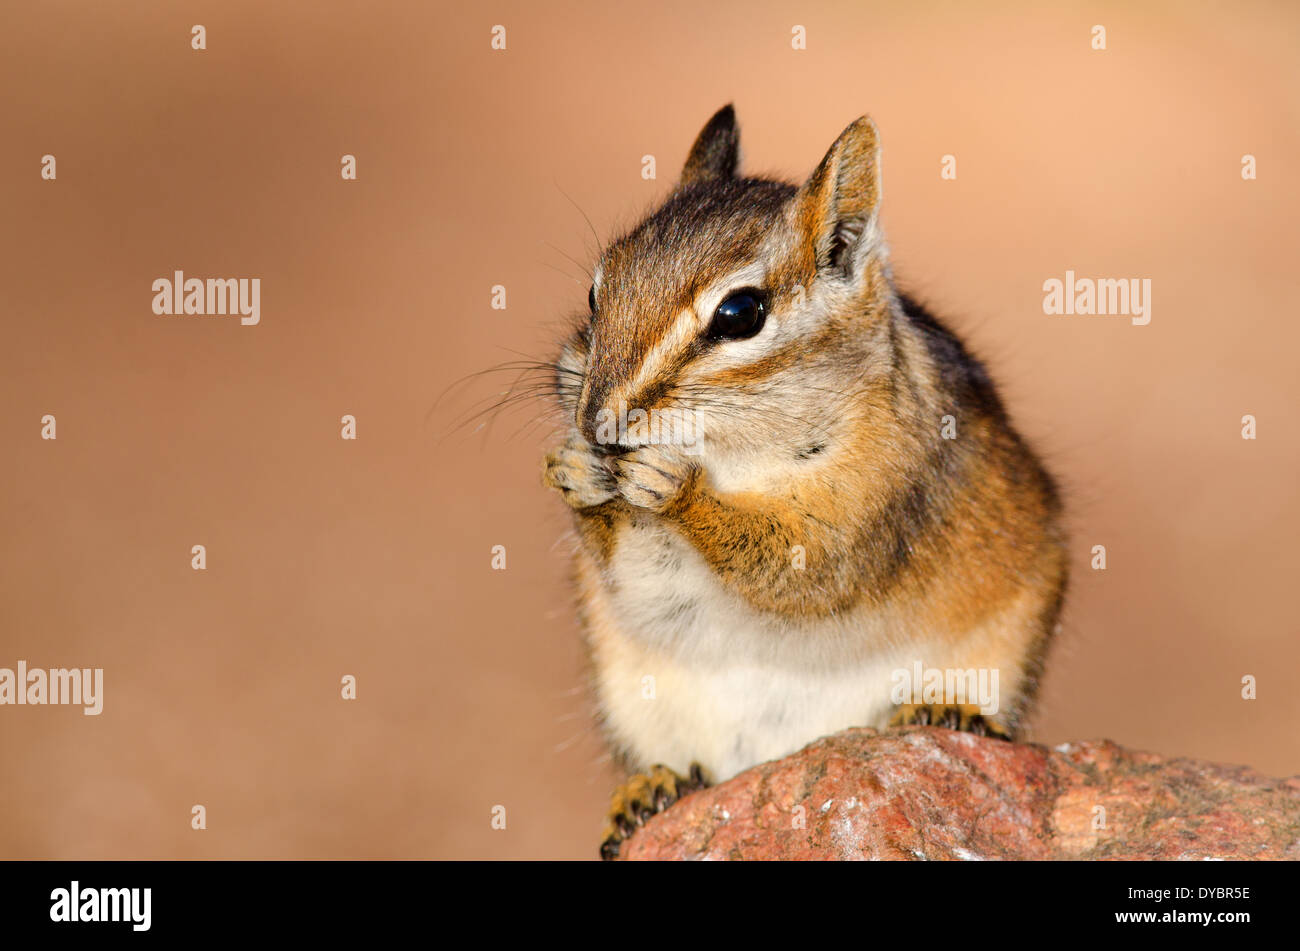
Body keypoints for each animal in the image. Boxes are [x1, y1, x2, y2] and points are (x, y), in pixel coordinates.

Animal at [541, 105, 1068, 860]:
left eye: (740, 314)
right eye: (596, 289)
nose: (597, 422)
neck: (741, 459)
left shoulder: (868, 505)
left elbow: (800, 568)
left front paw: (678, 488)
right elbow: (626, 568)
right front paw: (579, 473)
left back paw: (948, 710)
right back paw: (652, 789)